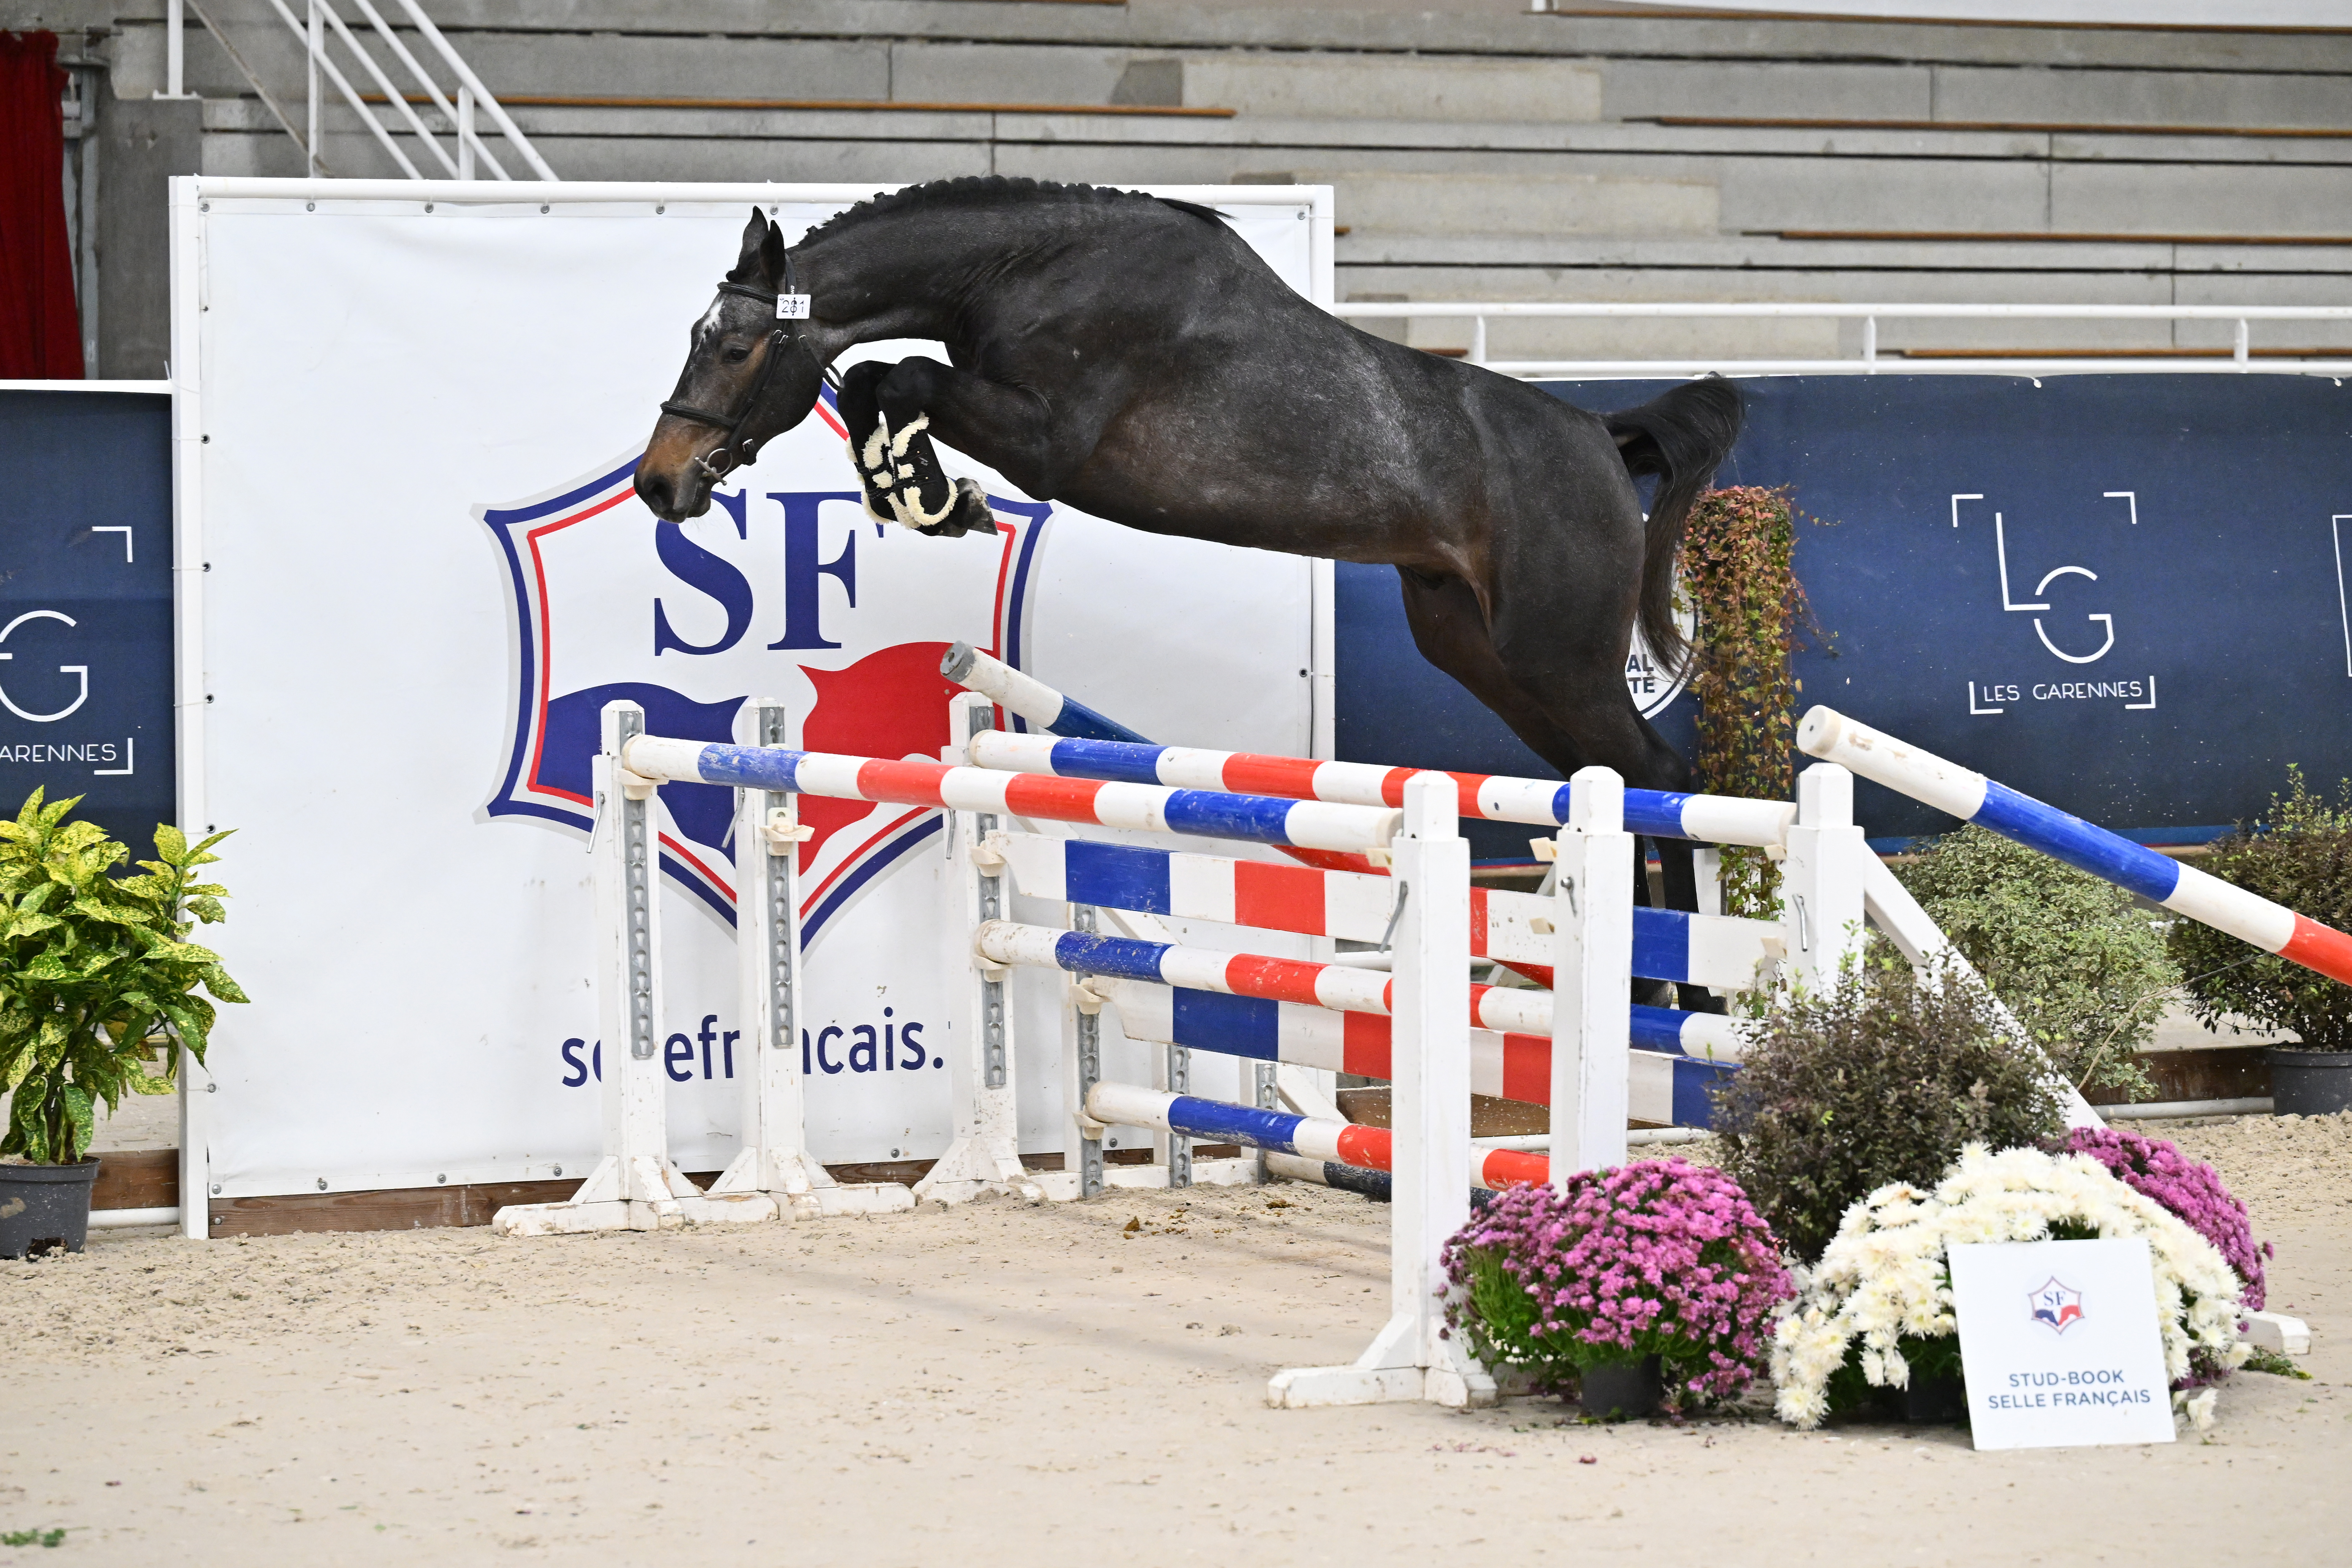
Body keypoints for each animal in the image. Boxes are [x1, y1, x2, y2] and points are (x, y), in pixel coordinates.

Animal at [634, 179, 1744, 992]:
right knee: (1614, 782)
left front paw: (930, 494)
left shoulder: (1046, 440)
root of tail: (1601, 433)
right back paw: (1645, 988)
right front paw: (924, 495)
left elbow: (895, 377)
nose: (659, 481)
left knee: (1658, 776)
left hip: (1557, 656)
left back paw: (1679, 992)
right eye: (692, 340)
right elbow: (876, 382)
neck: (1024, 273)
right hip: (1482, 653)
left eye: (735, 347)